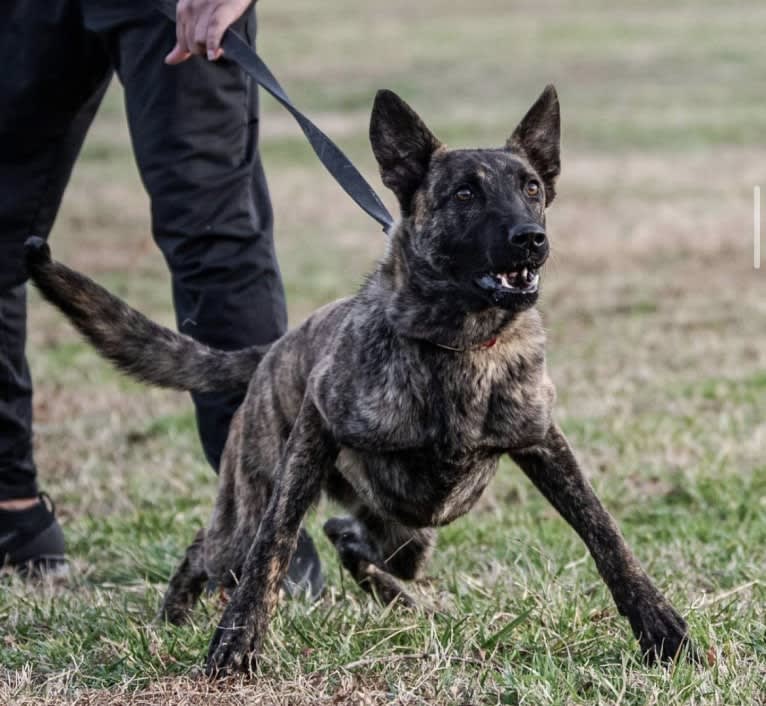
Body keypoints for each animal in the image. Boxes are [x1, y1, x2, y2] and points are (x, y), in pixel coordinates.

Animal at [24, 85, 700, 672]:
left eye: (531, 188)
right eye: (464, 195)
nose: (531, 239)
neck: (458, 343)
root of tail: (273, 349)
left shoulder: (543, 443)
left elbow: (605, 534)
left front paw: (661, 630)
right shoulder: (317, 431)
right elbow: (273, 547)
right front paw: (238, 643)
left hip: (407, 534)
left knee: (347, 533)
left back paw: (397, 598)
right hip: (254, 502)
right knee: (217, 547)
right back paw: (175, 615)